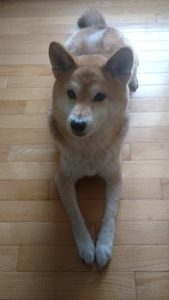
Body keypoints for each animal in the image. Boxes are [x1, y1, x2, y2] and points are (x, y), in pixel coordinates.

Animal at [48, 8, 138, 268]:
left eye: (99, 97)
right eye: (70, 93)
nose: (77, 124)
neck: (88, 149)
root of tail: (99, 26)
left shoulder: (115, 176)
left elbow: (110, 214)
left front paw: (104, 246)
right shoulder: (63, 179)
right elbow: (75, 215)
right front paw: (87, 246)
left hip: (132, 53)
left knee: (136, 66)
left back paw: (134, 80)